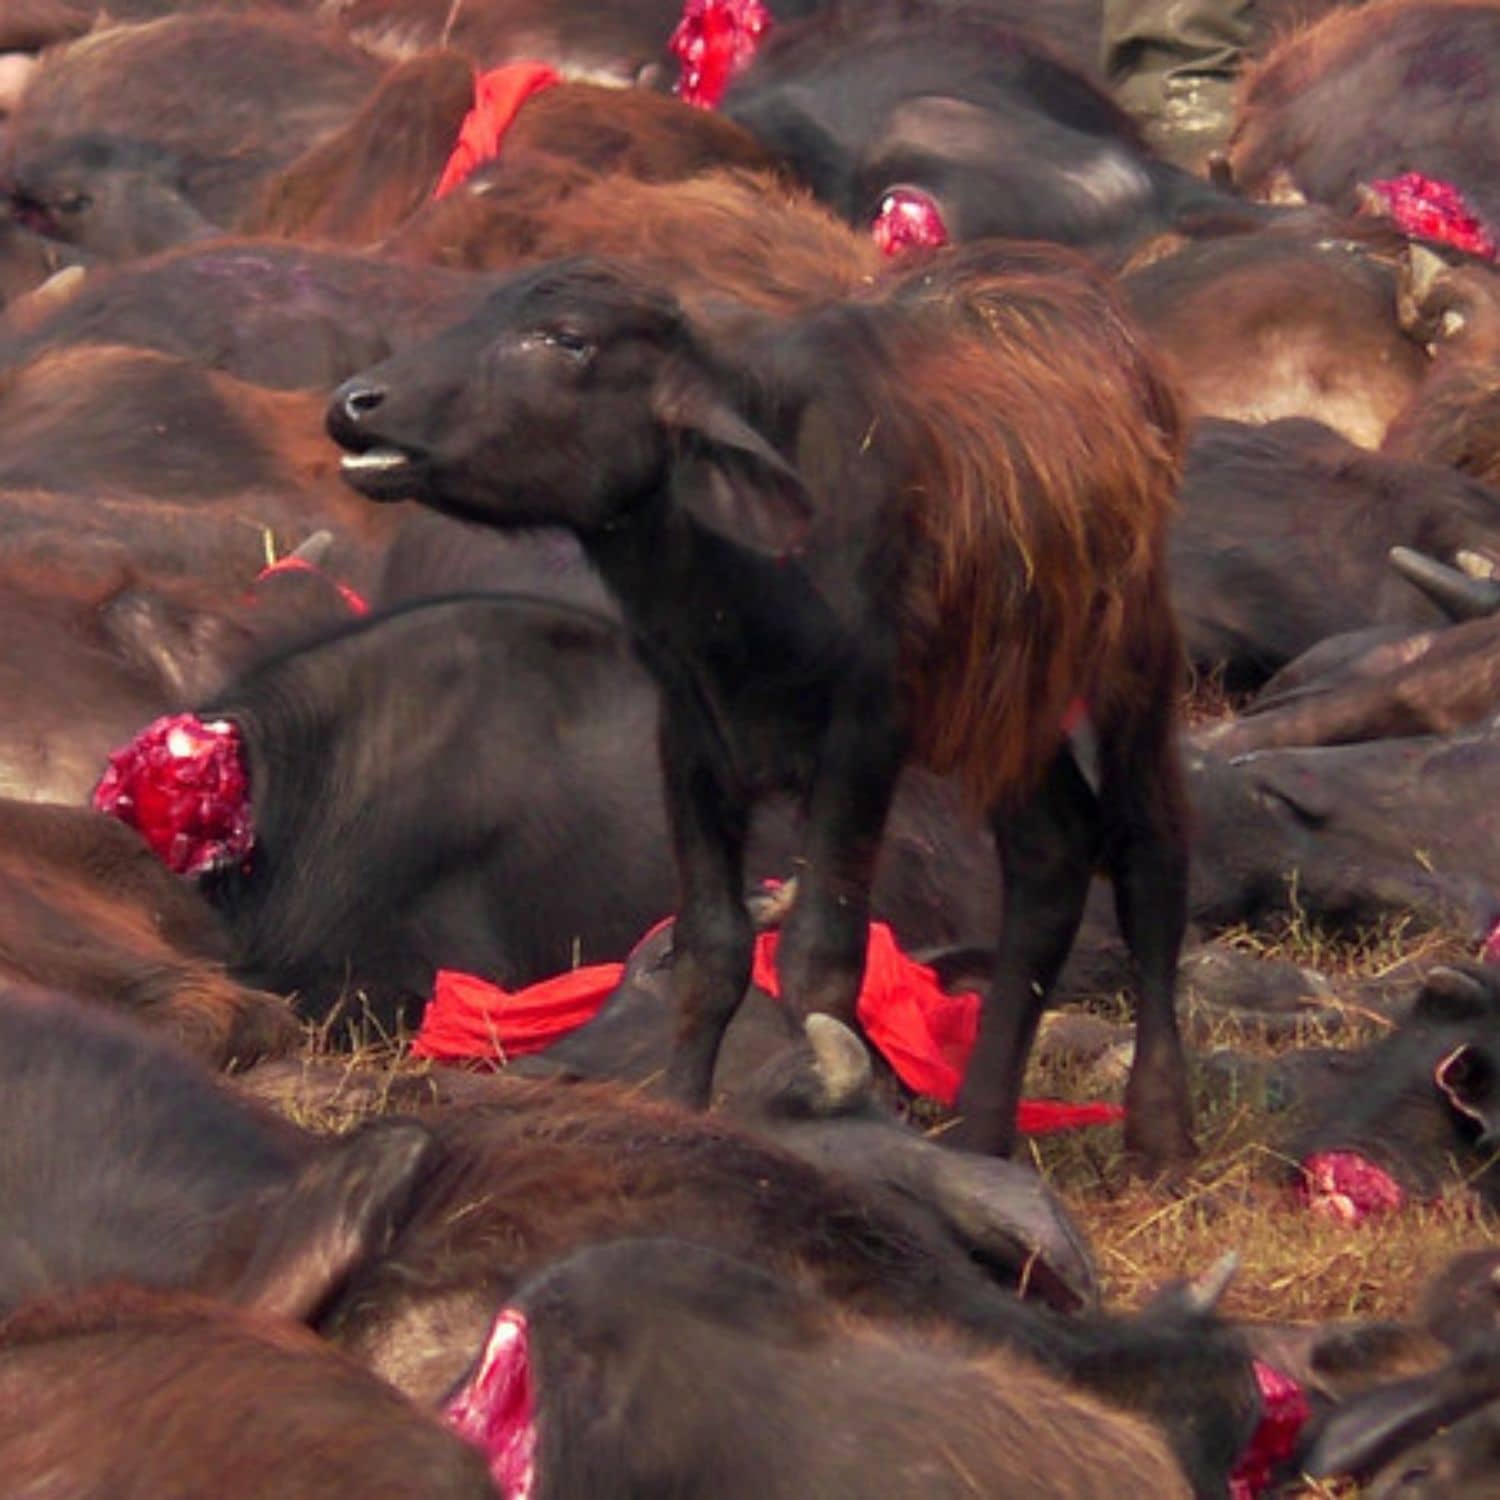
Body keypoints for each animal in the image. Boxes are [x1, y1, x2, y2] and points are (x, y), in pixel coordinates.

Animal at [331, 240, 1194, 1164]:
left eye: (566, 338)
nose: (356, 404)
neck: (734, 589)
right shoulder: (691, 737)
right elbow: (710, 949)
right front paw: (680, 1110)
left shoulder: (864, 737)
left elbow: (821, 957)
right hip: (1003, 706)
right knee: (1051, 849)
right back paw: (981, 1129)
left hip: (1132, 655)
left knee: (1147, 851)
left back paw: (1160, 1127)